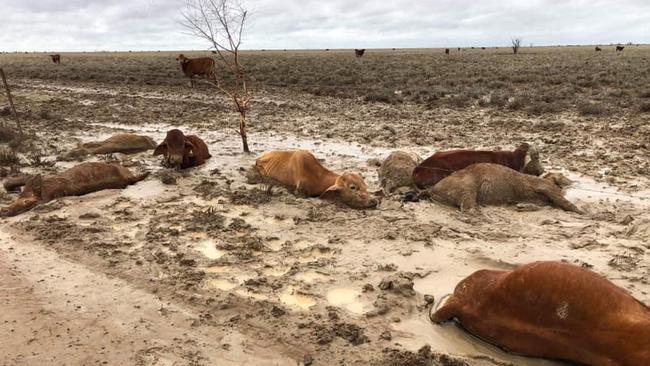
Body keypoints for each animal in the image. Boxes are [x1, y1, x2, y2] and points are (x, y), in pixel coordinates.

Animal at [244, 149, 378, 209]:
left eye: (365, 185)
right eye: (353, 187)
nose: (373, 201)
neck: (318, 177)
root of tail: (259, 158)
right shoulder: (299, 191)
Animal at [428, 162, 580, 212]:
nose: (575, 182)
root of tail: (432, 190)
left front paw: (522, 206)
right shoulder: (545, 186)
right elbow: (563, 201)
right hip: (466, 186)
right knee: (468, 206)